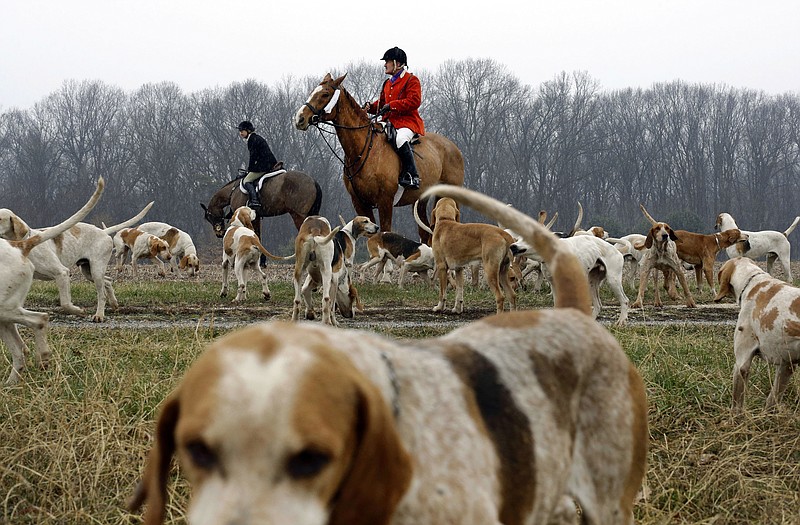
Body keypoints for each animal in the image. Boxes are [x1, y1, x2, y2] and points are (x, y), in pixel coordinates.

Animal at [294, 72, 462, 244]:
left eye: (325, 94)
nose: (299, 119)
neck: (364, 150)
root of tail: (452, 146)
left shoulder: (385, 202)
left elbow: (386, 232)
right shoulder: (360, 203)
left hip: (449, 196)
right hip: (421, 201)